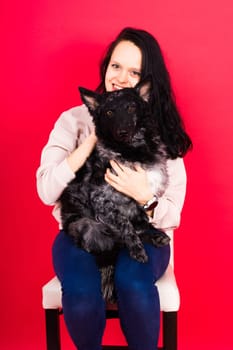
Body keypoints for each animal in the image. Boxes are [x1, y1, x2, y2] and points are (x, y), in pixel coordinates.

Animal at [59, 79, 169, 300]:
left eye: (131, 107)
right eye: (109, 112)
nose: (122, 132)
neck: (132, 150)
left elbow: (143, 219)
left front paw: (152, 232)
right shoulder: (103, 201)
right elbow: (127, 225)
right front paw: (137, 249)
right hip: (87, 226)